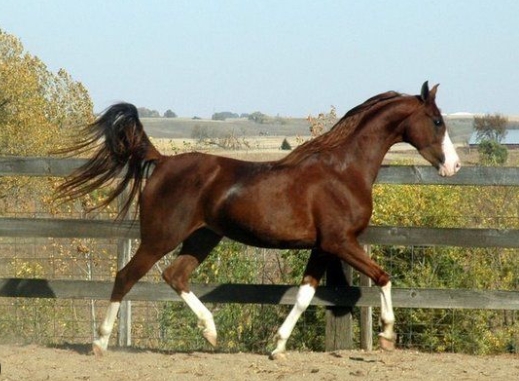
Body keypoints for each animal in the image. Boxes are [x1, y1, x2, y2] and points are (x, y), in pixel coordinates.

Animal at [57, 80, 462, 356]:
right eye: (437, 121)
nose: (454, 167)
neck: (343, 171)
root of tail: (164, 160)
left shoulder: (323, 246)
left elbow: (304, 295)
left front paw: (278, 346)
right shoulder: (341, 241)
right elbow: (382, 276)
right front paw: (387, 335)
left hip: (203, 237)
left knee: (175, 275)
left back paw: (211, 333)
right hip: (160, 236)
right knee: (126, 277)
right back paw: (100, 343)